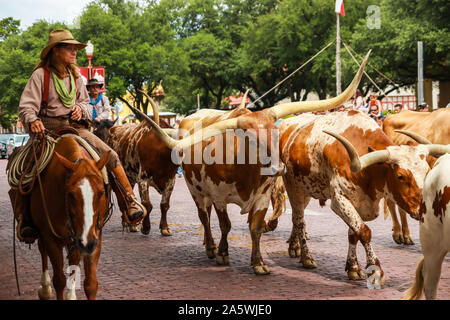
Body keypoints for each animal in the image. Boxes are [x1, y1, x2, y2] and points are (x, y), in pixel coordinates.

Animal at [29, 136, 110, 300]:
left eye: (101, 193)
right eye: (71, 195)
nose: (87, 242)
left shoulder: (95, 237)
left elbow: (91, 284)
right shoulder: (50, 238)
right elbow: (59, 281)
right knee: (42, 251)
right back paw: (45, 288)